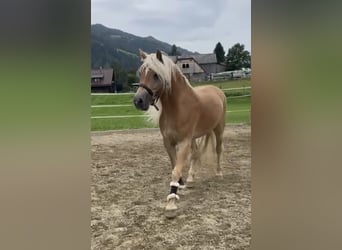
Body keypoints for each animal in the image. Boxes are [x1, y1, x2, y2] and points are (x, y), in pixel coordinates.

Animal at [134, 49, 227, 218]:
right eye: (141, 73)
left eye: (156, 75)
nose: (138, 101)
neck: (177, 107)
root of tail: (217, 90)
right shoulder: (168, 142)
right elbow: (174, 165)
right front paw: (180, 185)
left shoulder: (184, 141)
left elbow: (176, 169)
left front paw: (171, 203)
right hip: (195, 137)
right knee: (196, 153)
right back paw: (191, 179)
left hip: (219, 129)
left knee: (218, 150)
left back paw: (218, 174)